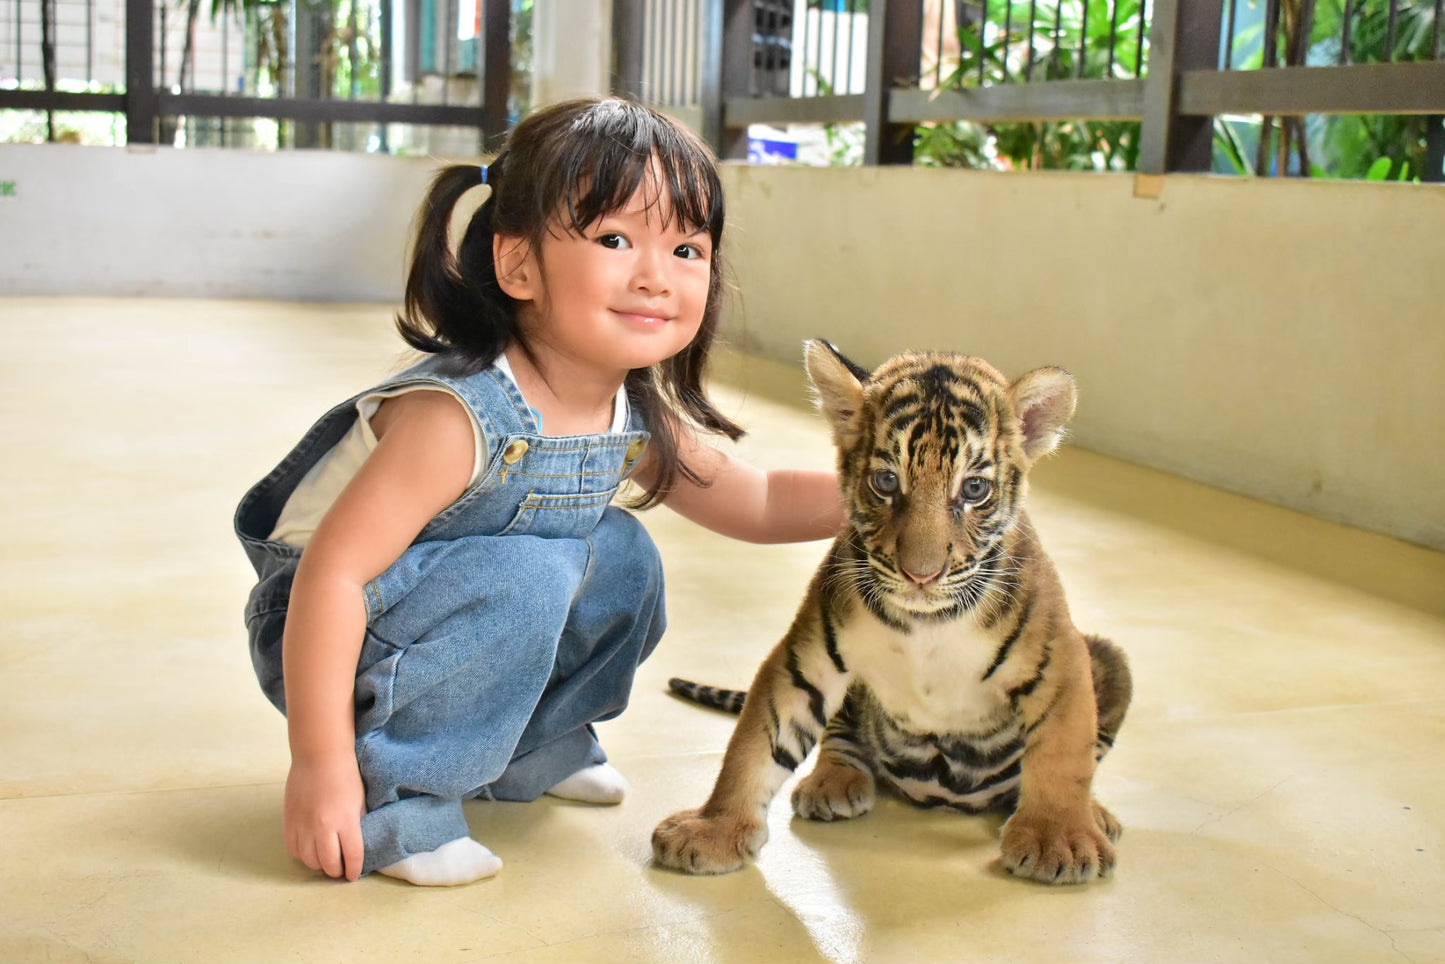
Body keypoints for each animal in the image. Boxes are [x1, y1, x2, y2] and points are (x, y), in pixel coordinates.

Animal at [651, 340, 1131, 885]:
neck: (929, 619)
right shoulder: (807, 655)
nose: (921, 574)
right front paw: (713, 828)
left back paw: (1096, 815)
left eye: (974, 490)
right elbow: (755, 743)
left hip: (1109, 659)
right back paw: (832, 783)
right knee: (839, 736)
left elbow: (1063, 752)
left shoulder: (1059, 661)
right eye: (885, 482)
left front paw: (1060, 841)